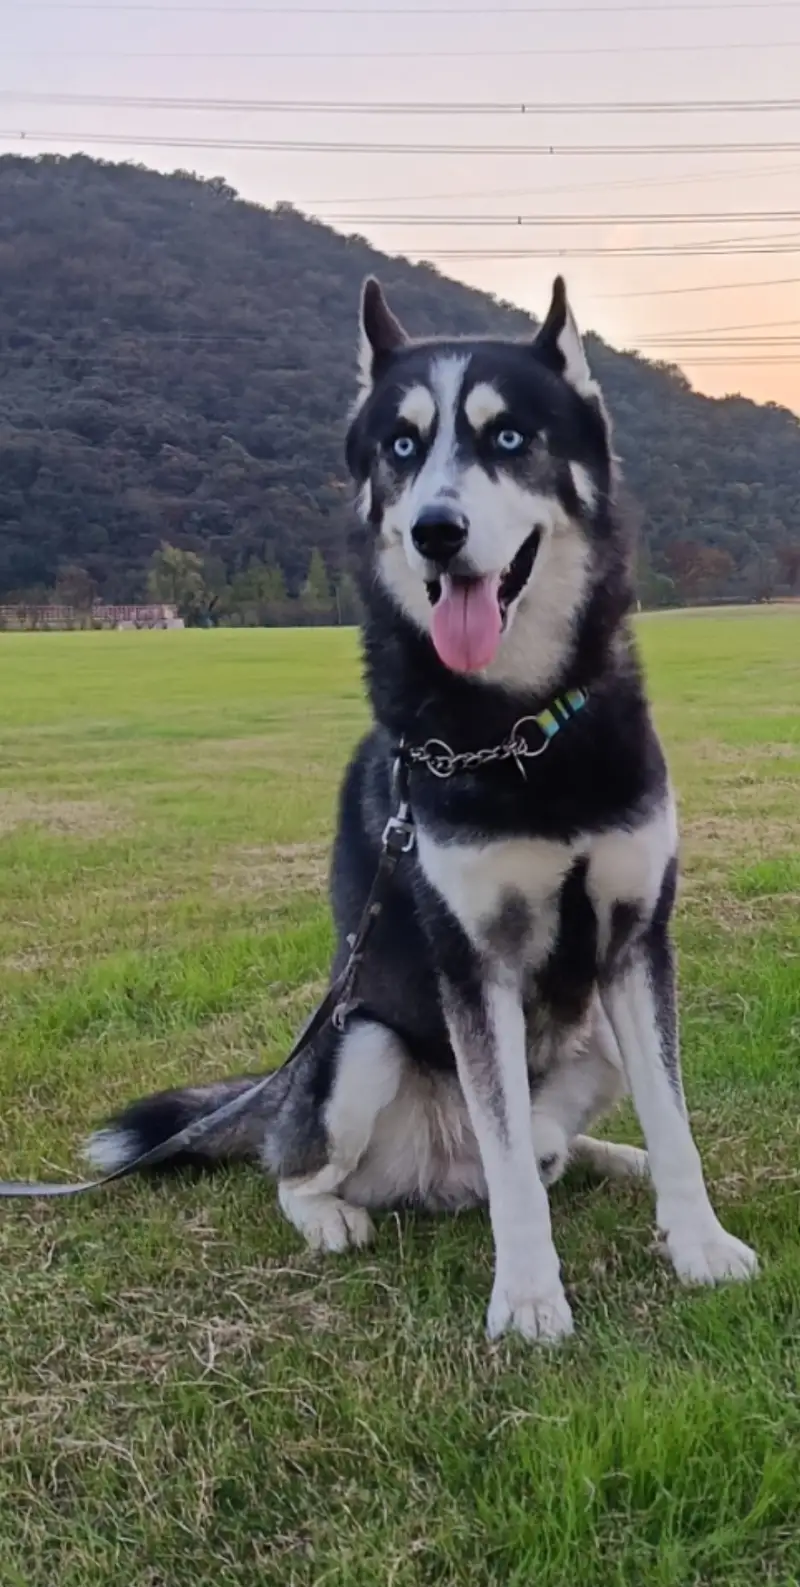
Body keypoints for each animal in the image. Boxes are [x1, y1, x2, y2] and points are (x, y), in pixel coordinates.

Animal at [87, 276, 755, 1339]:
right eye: (400, 448)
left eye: (510, 437)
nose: (436, 530)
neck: (521, 727)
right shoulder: (473, 963)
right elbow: (513, 1167)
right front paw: (528, 1296)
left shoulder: (637, 942)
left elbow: (675, 1119)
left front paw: (698, 1242)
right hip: (355, 1045)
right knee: (311, 1168)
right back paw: (330, 1216)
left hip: (596, 1034)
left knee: (554, 1151)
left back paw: (619, 1162)